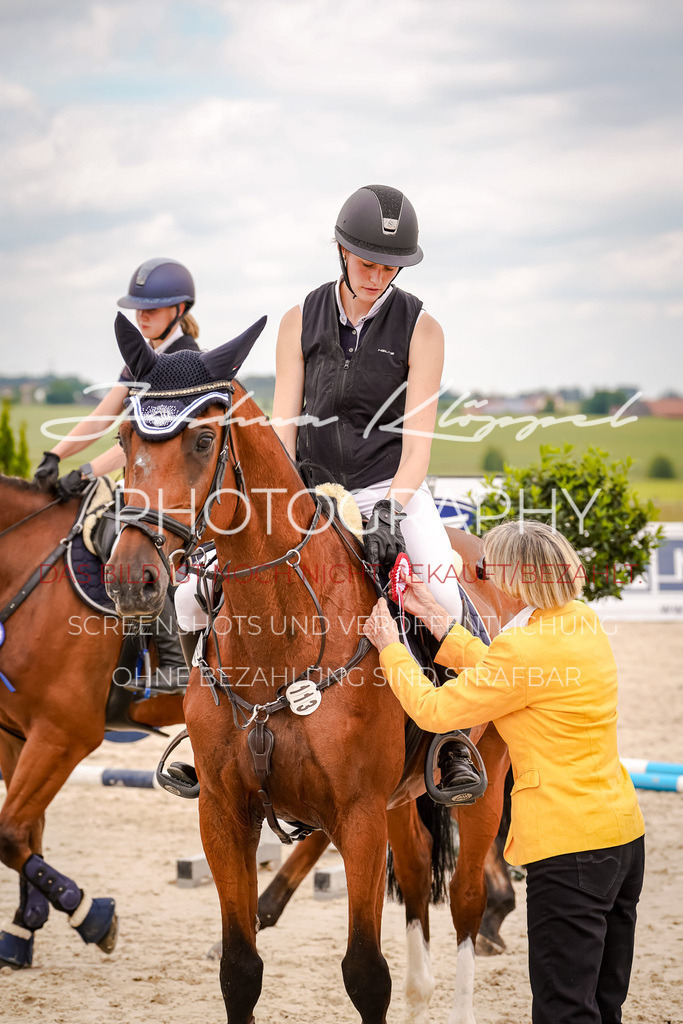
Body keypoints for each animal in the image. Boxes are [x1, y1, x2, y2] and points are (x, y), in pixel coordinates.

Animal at [0, 473, 185, 966]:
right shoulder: (15, 736)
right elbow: (29, 833)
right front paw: (24, 927)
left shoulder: (63, 737)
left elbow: (9, 834)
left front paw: (91, 916)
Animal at [104, 315, 516, 1019]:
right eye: (126, 436)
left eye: (204, 440)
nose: (133, 578)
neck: (281, 633)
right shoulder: (223, 813)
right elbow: (240, 969)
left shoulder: (357, 815)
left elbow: (365, 973)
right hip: (401, 801)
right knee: (415, 882)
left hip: (477, 792)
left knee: (464, 903)